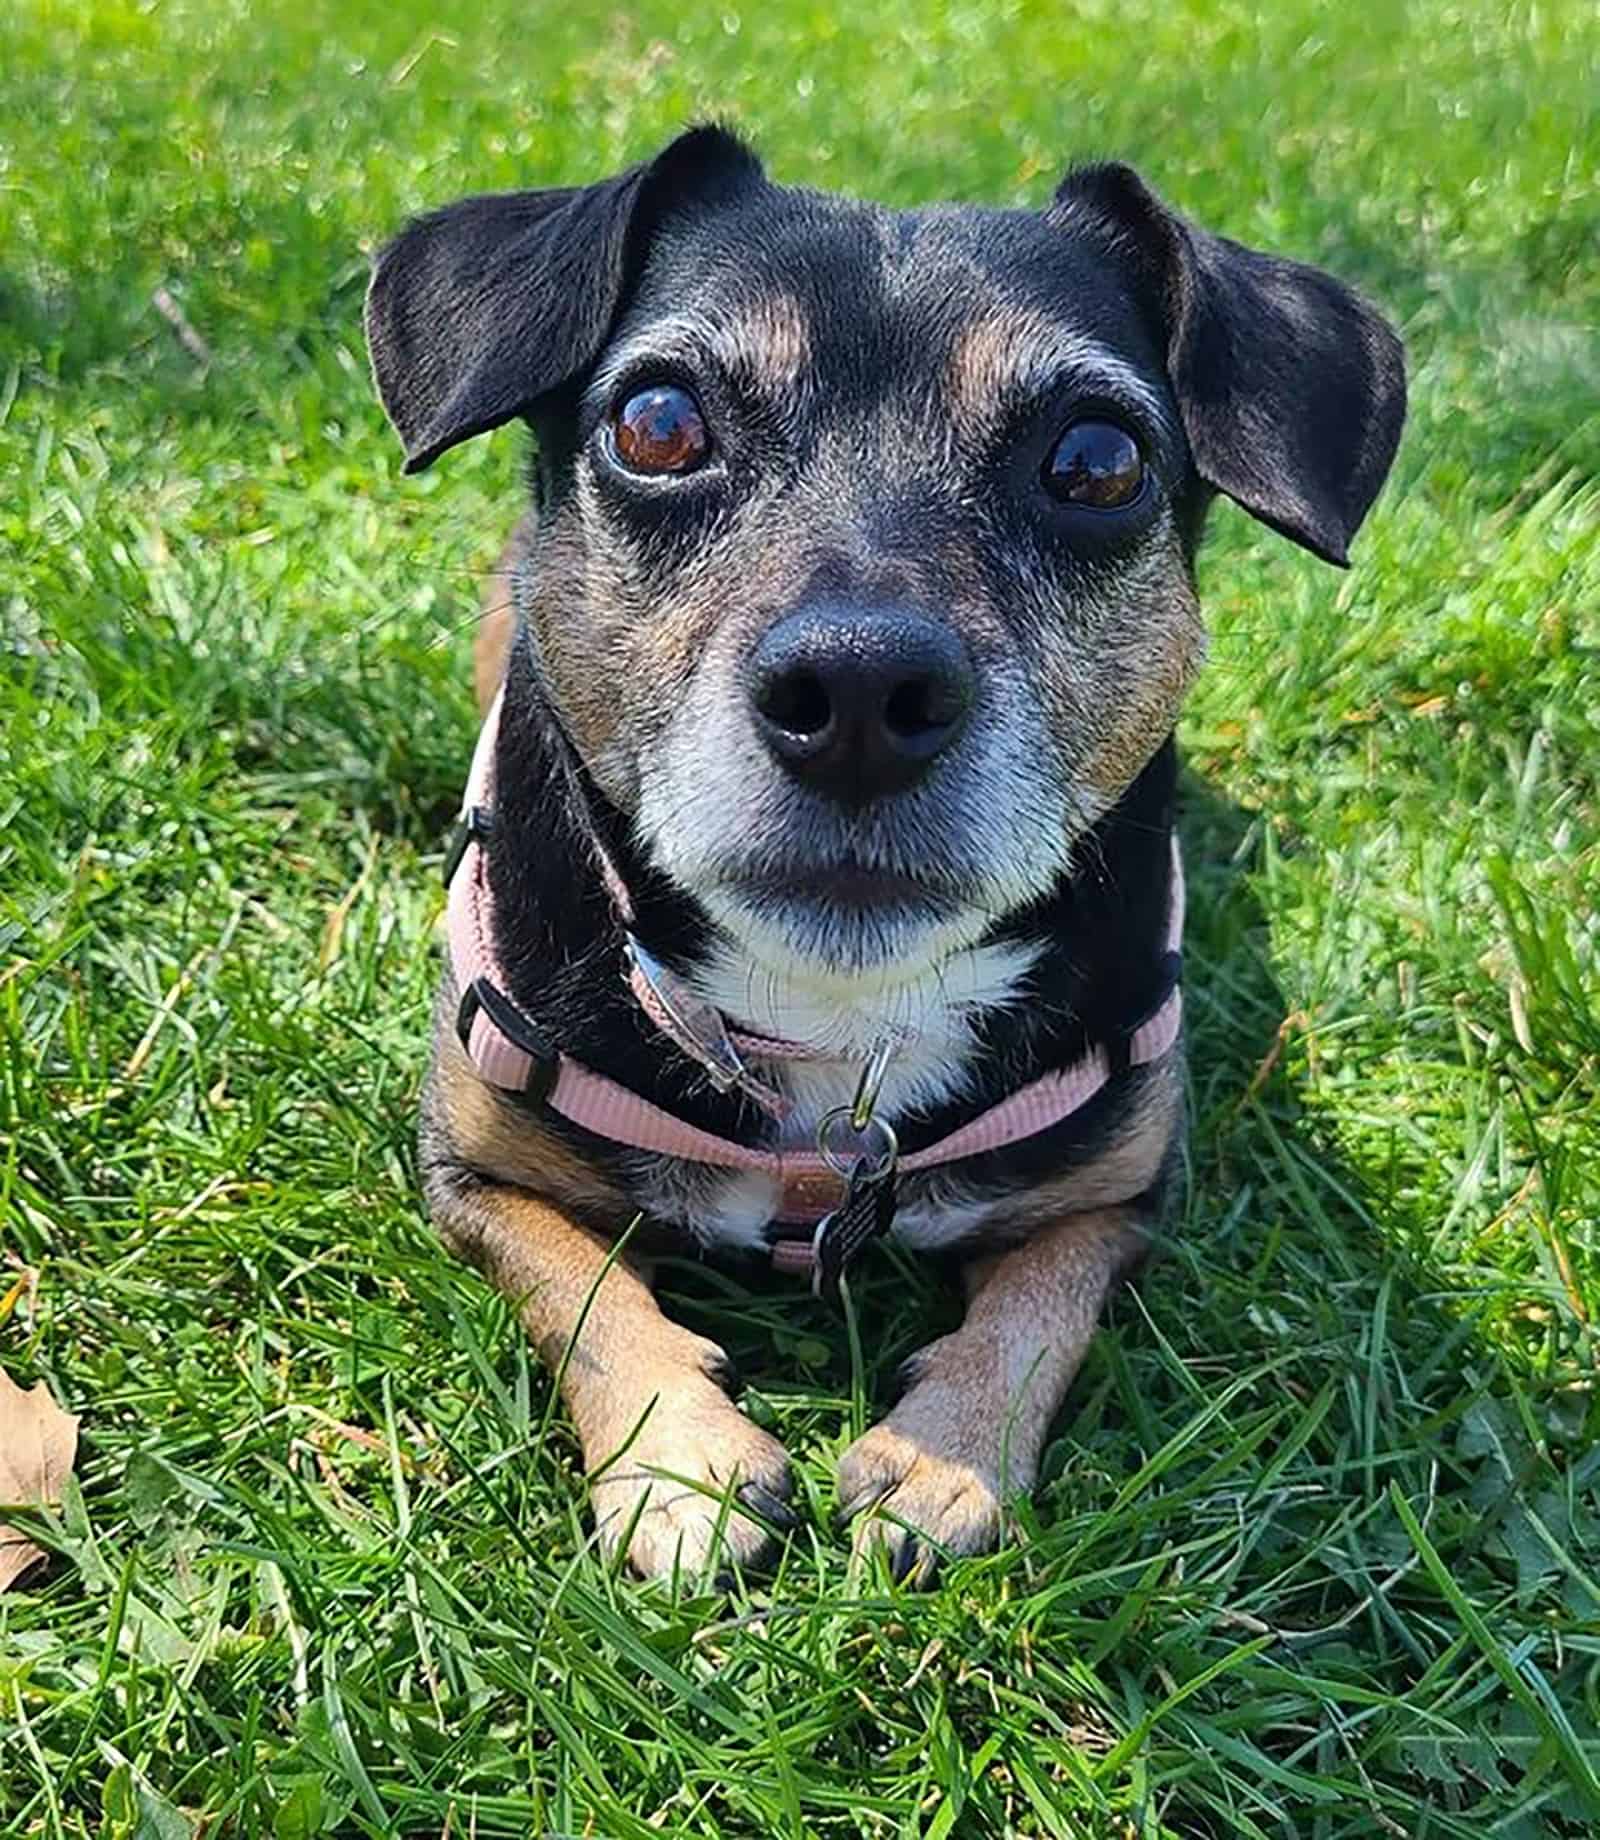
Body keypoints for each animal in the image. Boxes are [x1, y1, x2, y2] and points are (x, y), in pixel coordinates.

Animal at [364, 126, 1405, 1582]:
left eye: (1099, 460)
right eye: (658, 424)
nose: (859, 690)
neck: (840, 1020)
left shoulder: (1119, 1194)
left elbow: (1037, 1312)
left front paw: (939, 1457)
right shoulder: (472, 1172)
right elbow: (581, 1284)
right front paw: (680, 1466)